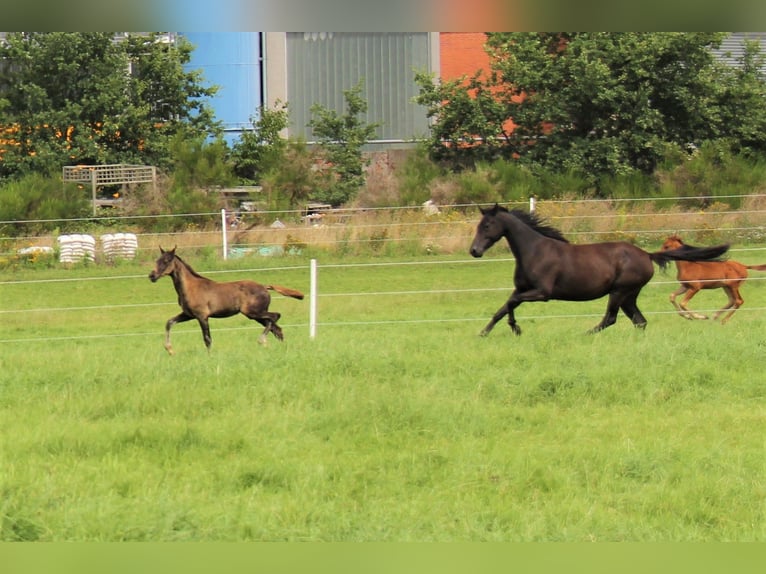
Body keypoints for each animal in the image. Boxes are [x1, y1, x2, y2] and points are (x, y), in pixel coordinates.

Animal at [148, 248, 304, 356]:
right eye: (157, 260)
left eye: (166, 261)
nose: (152, 276)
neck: (191, 287)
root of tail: (265, 287)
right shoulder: (188, 315)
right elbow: (169, 322)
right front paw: (170, 350)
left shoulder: (202, 316)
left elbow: (207, 339)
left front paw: (210, 357)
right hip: (256, 315)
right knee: (276, 328)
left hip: (253, 313)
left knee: (275, 316)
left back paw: (262, 341)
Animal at [468, 206, 732, 338]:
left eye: (487, 225)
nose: (474, 251)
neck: (534, 251)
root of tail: (646, 255)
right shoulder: (521, 289)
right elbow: (503, 308)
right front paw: (484, 332)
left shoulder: (542, 293)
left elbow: (511, 304)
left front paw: (516, 329)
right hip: (629, 295)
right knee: (639, 321)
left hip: (619, 291)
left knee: (611, 319)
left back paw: (585, 334)